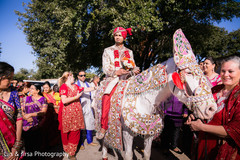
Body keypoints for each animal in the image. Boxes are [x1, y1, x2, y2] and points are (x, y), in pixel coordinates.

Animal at [94, 29, 218, 160]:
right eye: (189, 72)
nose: (211, 109)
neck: (144, 101)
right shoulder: (127, 132)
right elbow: (128, 155)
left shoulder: (149, 132)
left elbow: (147, 153)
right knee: (104, 138)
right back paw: (104, 152)